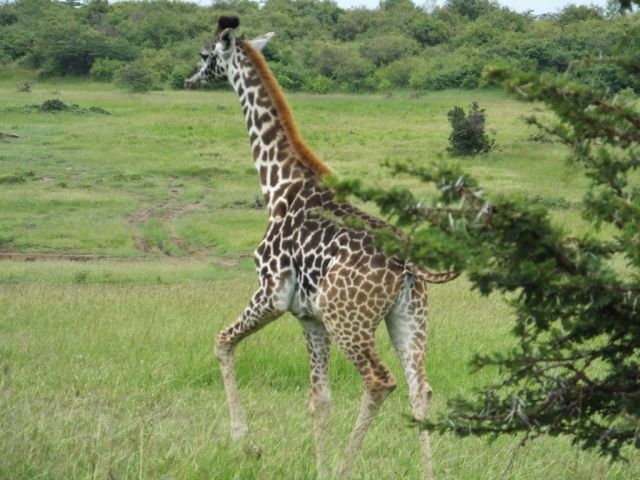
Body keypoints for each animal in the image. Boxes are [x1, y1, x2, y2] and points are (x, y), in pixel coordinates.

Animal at [185, 16, 456, 479]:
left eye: (206, 54)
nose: (189, 77)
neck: (278, 184)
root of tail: (407, 264)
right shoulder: (309, 317)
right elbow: (320, 400)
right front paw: (315, 464)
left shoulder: (272, 293)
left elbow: (222, 341)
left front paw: (245, 443)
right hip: (409, 317)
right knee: (420, 389)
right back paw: (426, 472)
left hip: (348, 320)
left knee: (380, 381)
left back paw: (347, 466)